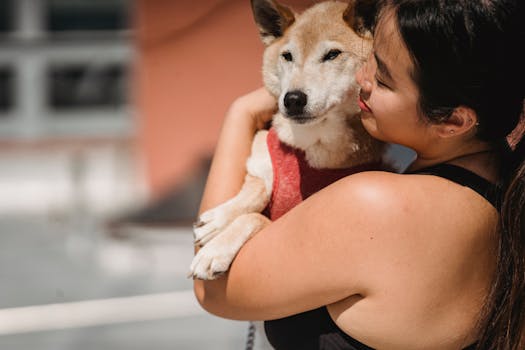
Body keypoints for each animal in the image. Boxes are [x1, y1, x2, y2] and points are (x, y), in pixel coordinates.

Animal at [188, 0, 380, 280]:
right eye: (287, 56)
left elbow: (258, 219)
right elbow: (256, 190)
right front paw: (219, 220)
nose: (293, 99)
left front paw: (216, 251)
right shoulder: (259, 159)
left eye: (333, 54)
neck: (312, 142)